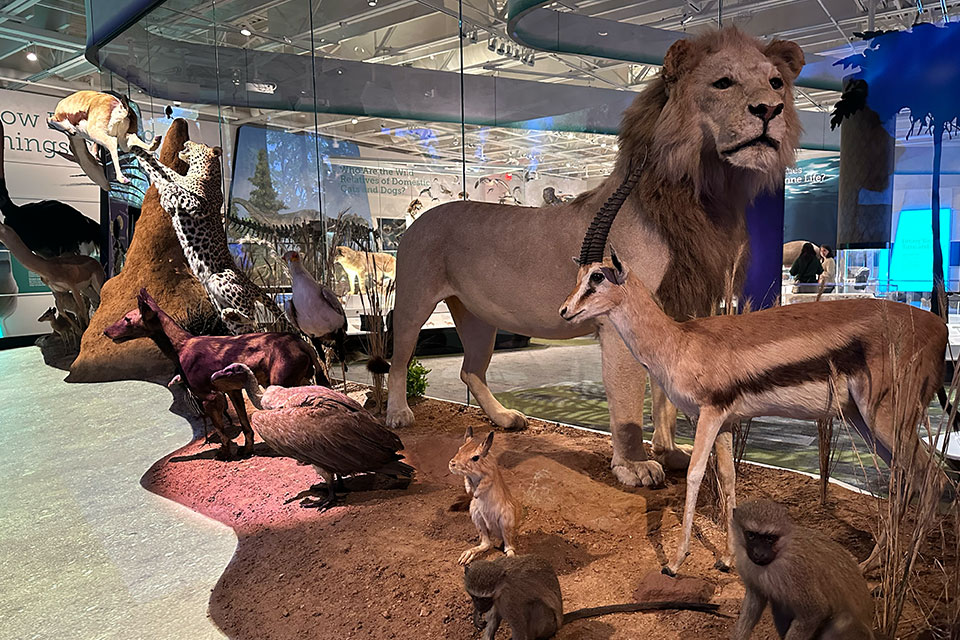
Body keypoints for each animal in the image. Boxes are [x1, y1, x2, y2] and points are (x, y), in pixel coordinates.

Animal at [386, 23, 808, 484]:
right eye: (723, 82)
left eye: (776, 83)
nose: (770, 109)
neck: (701, 193)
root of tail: (417, 220)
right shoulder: (618, 325)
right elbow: (628, 404)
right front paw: (635, 465)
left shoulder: (674, 314)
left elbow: (665, 396)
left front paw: (670, 452)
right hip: (414, 301)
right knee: (397, 358)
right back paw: (398, 414)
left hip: (479, 317)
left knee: (469, 369)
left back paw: (504, 419)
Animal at [448, 428, 520, 564]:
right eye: (460, 449)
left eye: (475, 457)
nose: (451, 464)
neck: (475, 473)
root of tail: (496, 534)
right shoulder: (468, 477)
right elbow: (467, 481)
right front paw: (470, 491)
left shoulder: (489, 474)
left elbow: (483, 484)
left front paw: (475, 494)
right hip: (476, 516)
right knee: (487, 544)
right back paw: (467, 555)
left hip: (506, 521)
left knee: (508, 546)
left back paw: (511, 556)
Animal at [560, 179, 948, 576]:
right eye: (578, 277)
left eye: (597, 277)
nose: (565, 311)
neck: (679, 341)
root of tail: (940, 328)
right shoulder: (726, 422)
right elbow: (728, 477)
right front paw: (728, 558)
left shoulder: (708, 415)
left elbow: (695, 474)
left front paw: (677, 561)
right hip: (866, 422)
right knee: (908, 480)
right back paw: (873, 563)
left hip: (888, 420)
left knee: (933, 478)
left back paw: (903, 568)